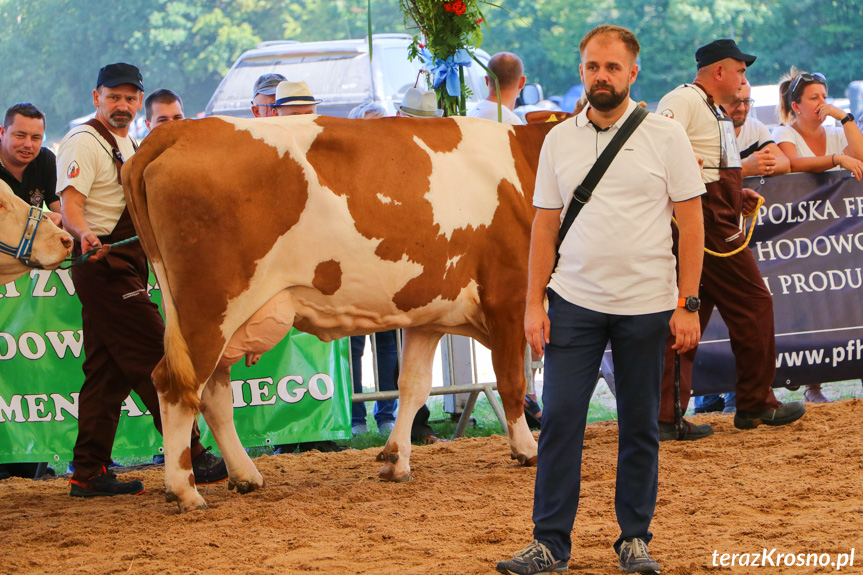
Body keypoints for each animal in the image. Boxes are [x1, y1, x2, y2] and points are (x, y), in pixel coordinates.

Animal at [125, 115, 556, 510]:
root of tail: (182, 129)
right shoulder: (509, 297)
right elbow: (512, 381)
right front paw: (527, 450)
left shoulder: (427, 315)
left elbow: (413, 386)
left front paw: (395, 460)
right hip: (209, 310)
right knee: (174, 385)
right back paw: (185, 491)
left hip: (220, 321)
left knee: (212, 394)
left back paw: (245, 476)